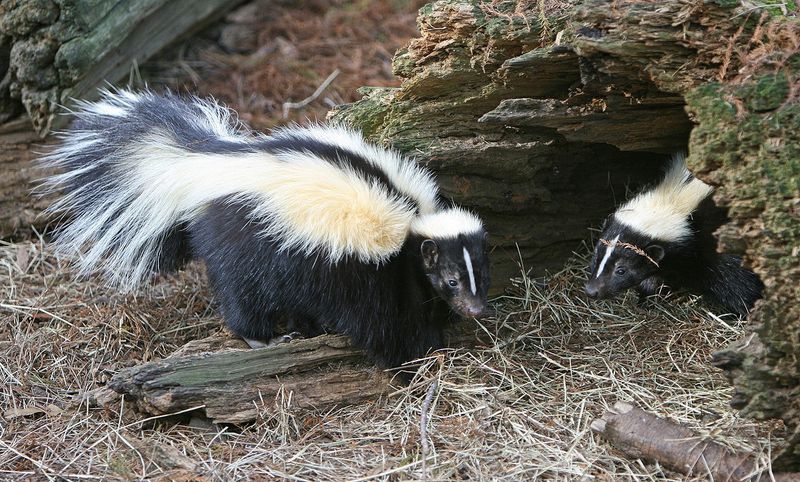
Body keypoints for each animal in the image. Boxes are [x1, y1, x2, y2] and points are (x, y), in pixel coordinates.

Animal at [42, 89, 494, 370]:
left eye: (482, 276)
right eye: (451, 280)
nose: (477, 310)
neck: (413, 223)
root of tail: (205, 166)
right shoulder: (374, 271)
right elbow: (385, 323)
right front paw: (413, 359)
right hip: (244, 243)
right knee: (243, 298)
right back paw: (262, 339)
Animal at [588, 153, 764, 316]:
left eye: (621, 270)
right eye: (596, 257)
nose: (591, 290)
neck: (672, 201)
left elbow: (738, 284)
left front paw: (745, 312)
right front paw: (646, 296)